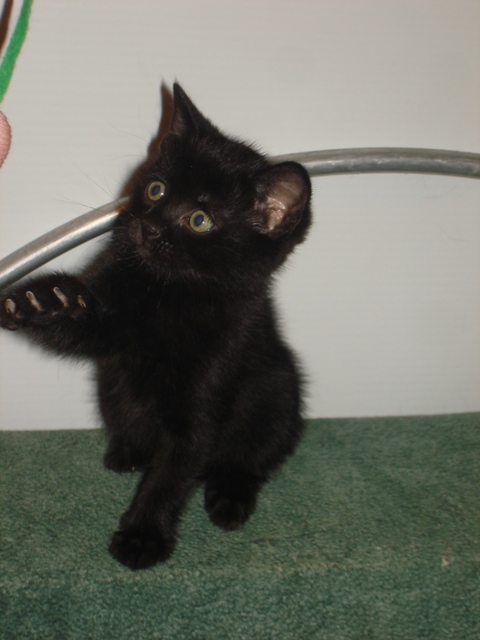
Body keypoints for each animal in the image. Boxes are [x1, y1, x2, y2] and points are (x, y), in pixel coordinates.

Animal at [0, 83, 312, 570]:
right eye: (156, 188)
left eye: (200, 220)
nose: (147, 228)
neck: (168, 293)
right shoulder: (110, 321)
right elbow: (78, 328)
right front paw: (41, 300)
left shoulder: (212, 382)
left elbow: (175, 470)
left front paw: (144, 535)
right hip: (111, 382)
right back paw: (129, 450)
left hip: (277, 388)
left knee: (252, 455)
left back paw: (230, 496)